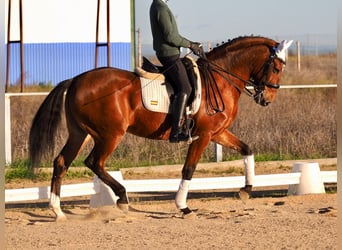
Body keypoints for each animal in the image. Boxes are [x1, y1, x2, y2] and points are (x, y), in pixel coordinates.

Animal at [28, 36, 292, 220]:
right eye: (276, 68)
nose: (267, 99)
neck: (220, 79)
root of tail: (75, 80)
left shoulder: (217, 133)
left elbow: (247, 149)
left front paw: (246, 189)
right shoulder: (204, 136)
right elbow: (188, 169)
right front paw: (183, 207)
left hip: (80, 133)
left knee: (61, 162)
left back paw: (57, 211)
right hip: (110, 134)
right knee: (94, 162)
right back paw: (122, 198)